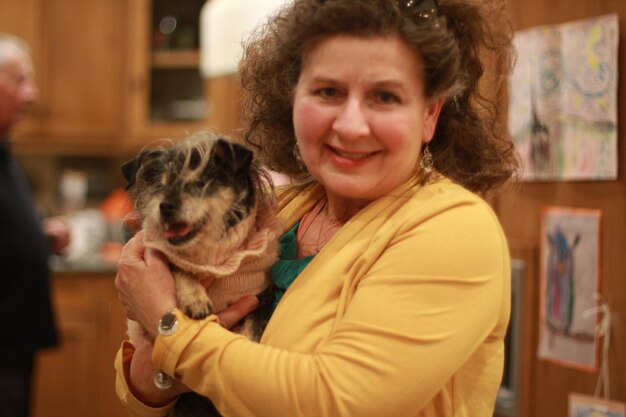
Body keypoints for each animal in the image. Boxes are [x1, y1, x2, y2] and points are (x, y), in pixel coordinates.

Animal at [120, 129, 280, 412]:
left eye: (202, 182)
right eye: (160, 184)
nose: (165, 206)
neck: (213, 253)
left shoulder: (260, 297)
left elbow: (252, 332)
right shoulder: (166, 254)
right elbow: (180, 267)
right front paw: (196, 299)